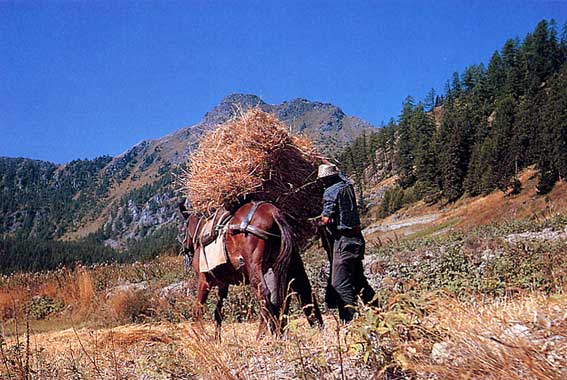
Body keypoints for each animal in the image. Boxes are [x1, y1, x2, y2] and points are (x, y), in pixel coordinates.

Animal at [179, 200, 324, 336]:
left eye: (184, 227)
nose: (185, 248)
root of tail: (273, 213)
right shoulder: (223, 285)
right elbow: (218, 313)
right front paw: (216, 339)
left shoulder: (204, 280)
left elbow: (198, 309)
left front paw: (203, 336)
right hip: (291, 264)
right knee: (299, 292)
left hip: (255, 267)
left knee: (265, 294)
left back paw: (264, 335)